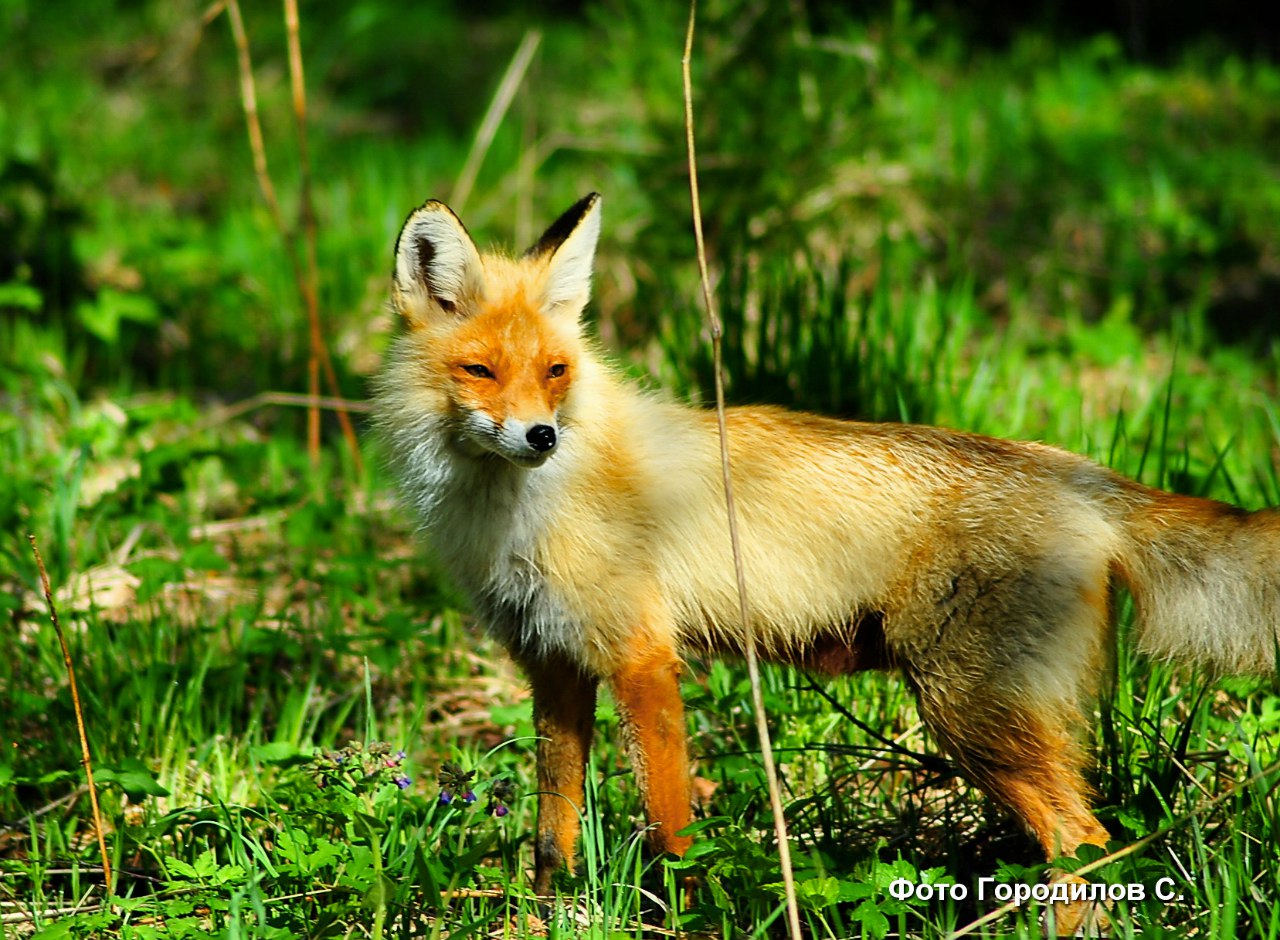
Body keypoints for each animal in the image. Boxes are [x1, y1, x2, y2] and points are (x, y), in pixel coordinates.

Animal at [373, 189, 1280, 896]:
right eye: (482, 371)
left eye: (555, 371)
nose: (541, 437)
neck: (518, 512)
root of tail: (1073, 469)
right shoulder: (553, 663)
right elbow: (551, 836)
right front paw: (545, 913)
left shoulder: (642, 657)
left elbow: (671, 830)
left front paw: (684, 910)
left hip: (969, 713)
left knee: (1087, 848)